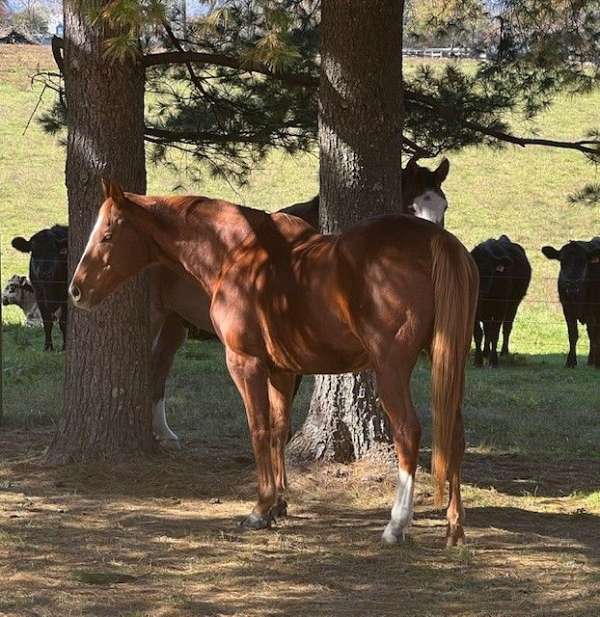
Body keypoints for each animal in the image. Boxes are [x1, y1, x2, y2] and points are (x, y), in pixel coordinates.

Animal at [472, 235, 532, 366]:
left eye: (490, 270)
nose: (481, 290)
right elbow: (478, 333)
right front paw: (478, 360)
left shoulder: (500, 308)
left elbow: (495, 333)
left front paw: (494, 361)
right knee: (487, 330)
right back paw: (485, 352)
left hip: (513, 304)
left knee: (506, 327)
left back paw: (504, 352)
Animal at [540, 237, 600, 366]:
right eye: (562, 261)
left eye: (583, 261)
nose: (572, 285)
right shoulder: (567, 309)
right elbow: (573, 335)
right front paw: (570, 361)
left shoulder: (595, 311)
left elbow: (595, 335)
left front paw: (597, 363)